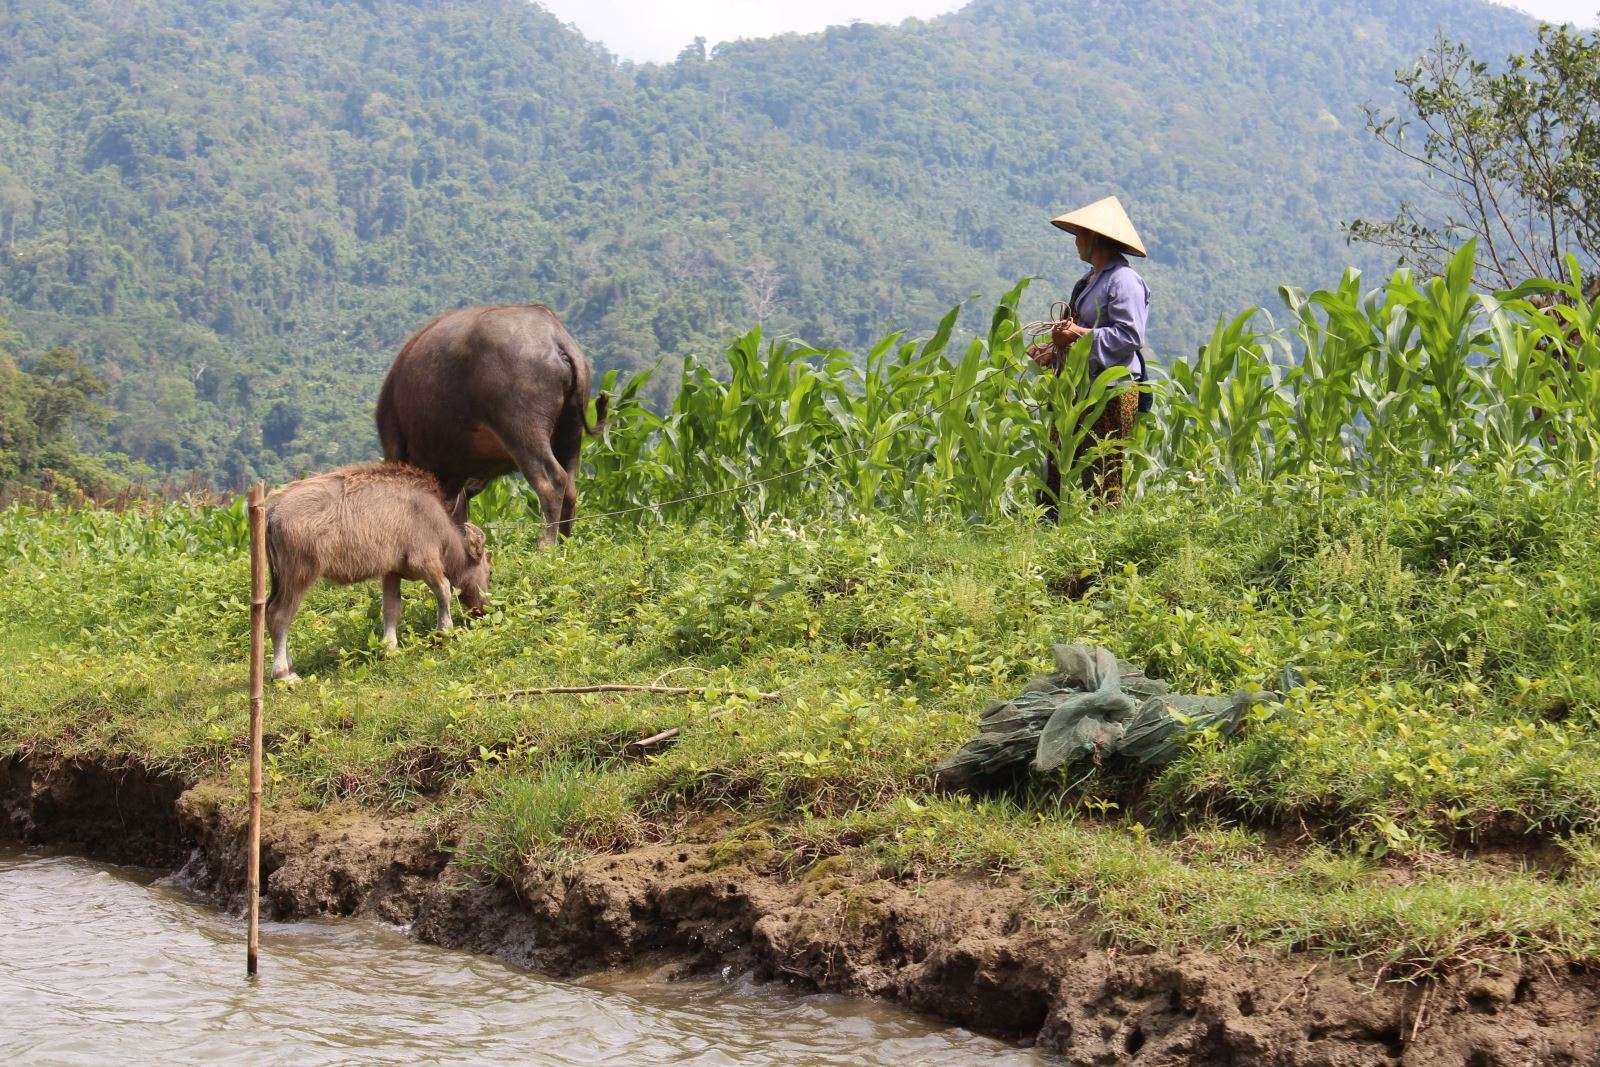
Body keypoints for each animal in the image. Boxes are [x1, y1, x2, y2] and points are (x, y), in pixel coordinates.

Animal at [374, 303, 604, 547]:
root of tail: (555, 338)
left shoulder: (395, 445)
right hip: (571, 431)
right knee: (570, 487)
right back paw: (564, 541)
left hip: (523, 431)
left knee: (552, 482)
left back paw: (545, 544)